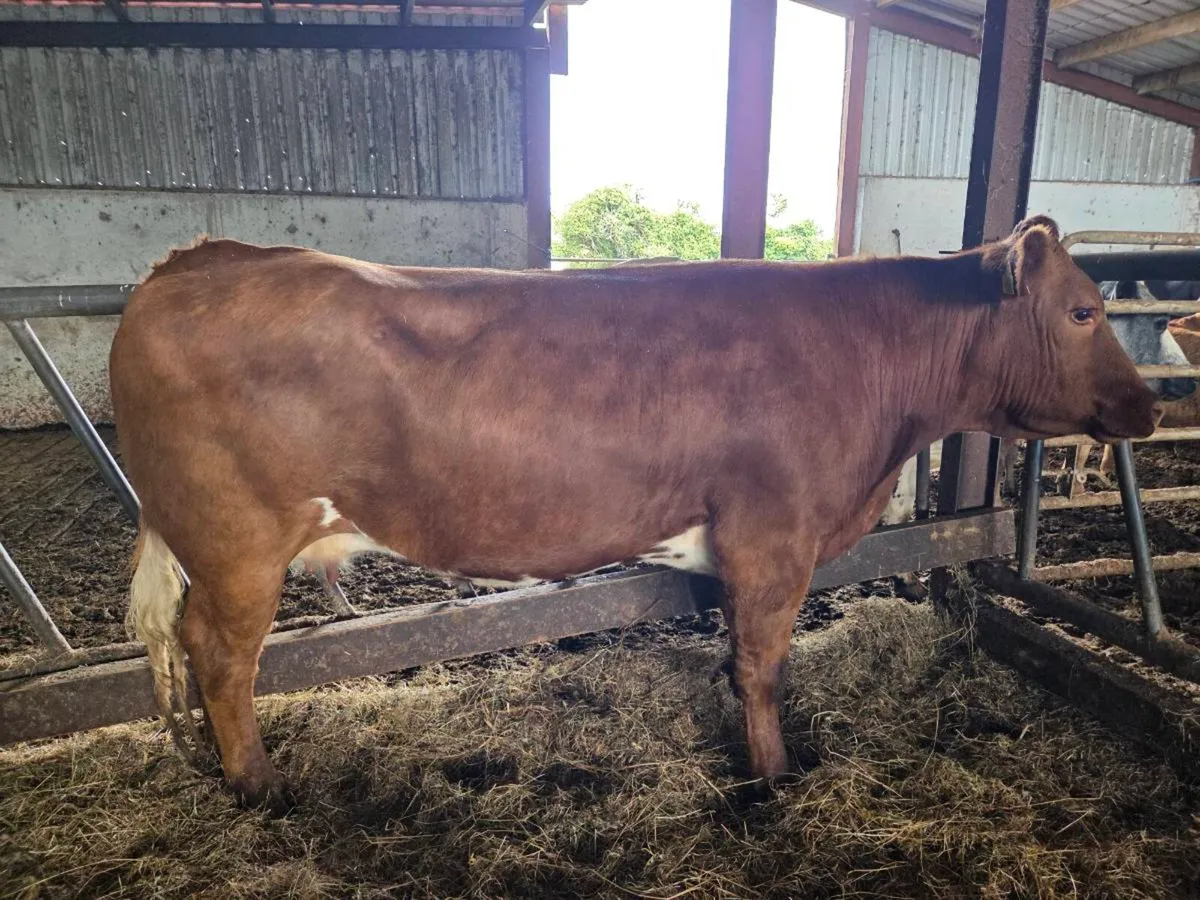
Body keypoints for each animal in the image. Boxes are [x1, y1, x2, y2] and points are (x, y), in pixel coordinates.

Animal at [109, 215, 1161, 812]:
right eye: (1081, 311)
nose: (1150, 407)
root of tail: (189, 264)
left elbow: (734, 659)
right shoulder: (773, 535)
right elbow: (763, 664)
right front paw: (774, 778)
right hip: (238, 542)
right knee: (221, 654)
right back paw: (260, 788)